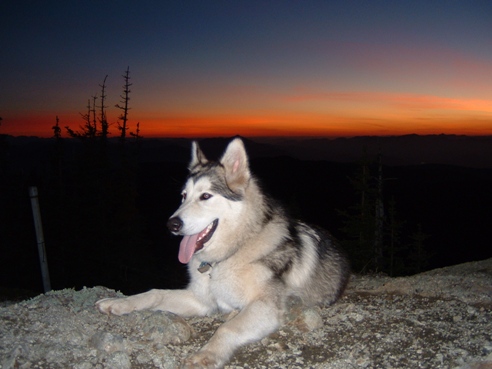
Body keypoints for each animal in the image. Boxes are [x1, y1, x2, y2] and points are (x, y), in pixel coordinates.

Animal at [97, 137, 350, 366]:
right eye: (183, 196)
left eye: (206, 196)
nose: (171, 225)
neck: (229, 255)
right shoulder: (200, 300)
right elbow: (154, 293)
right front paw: (118, 303)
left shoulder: (265, 307)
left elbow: (226, 330)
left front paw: (206, 355)